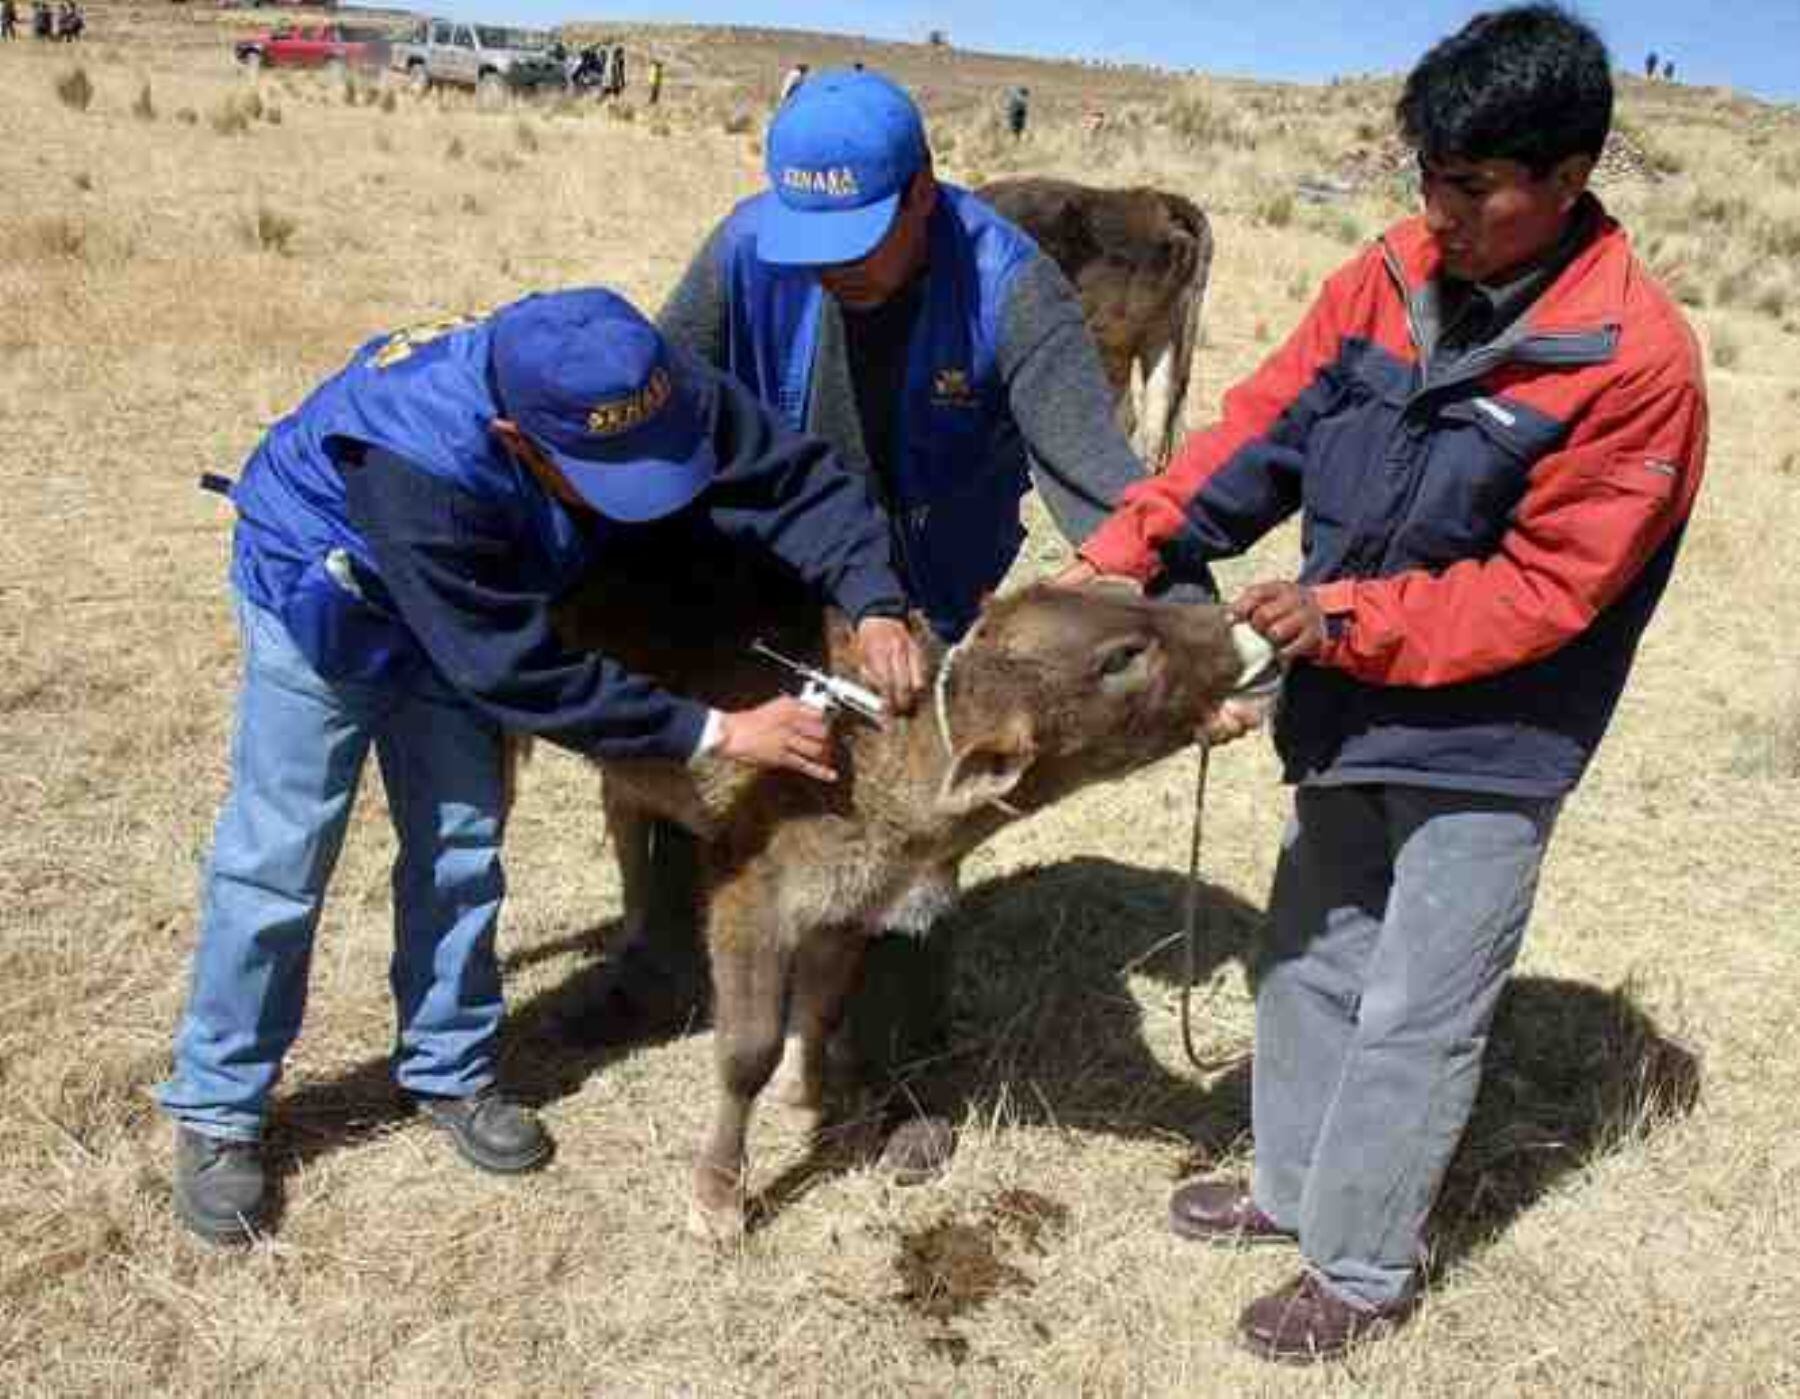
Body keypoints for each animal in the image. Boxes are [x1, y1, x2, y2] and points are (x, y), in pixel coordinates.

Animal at [554, 550, 1274, 1238]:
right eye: (1121, 657)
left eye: (1125, 592)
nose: (1248, 623)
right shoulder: (749, 888)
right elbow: (746, 1051)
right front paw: (717, 1203)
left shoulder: (850, 907)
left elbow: (822, 1004)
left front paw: (802, 1091)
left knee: (621, 798)